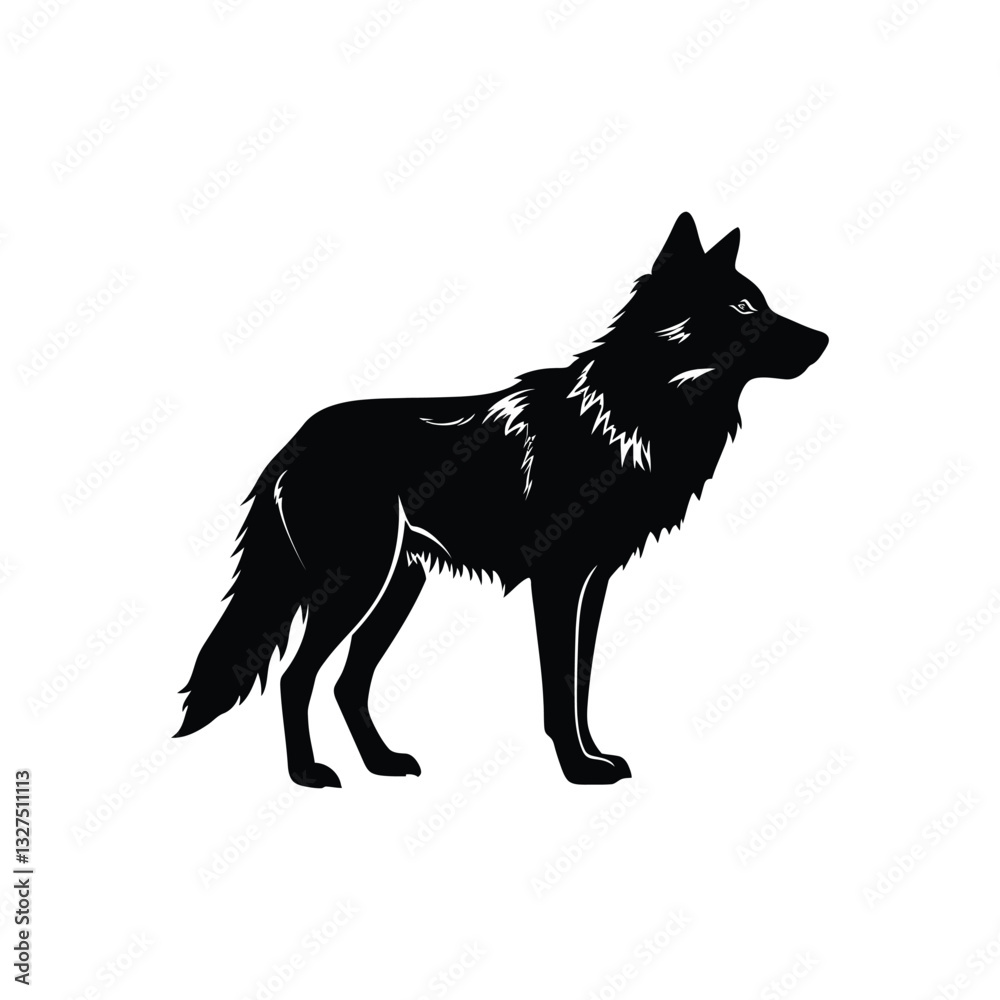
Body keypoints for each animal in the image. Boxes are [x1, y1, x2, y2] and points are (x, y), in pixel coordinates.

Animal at [175, 213, 828, 787]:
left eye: (761, 302)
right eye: (742, 308)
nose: (824, 339)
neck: (633, 411)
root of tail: (298, 438)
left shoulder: (593, 583)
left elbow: (580, 682)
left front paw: (593, 755)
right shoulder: (559, 580)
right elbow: (557, 688)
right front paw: (577, 769)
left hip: (397, 590)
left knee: (346, 685)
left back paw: (382, 764)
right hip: (356, 585)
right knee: (297, 679)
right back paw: (308, 775)